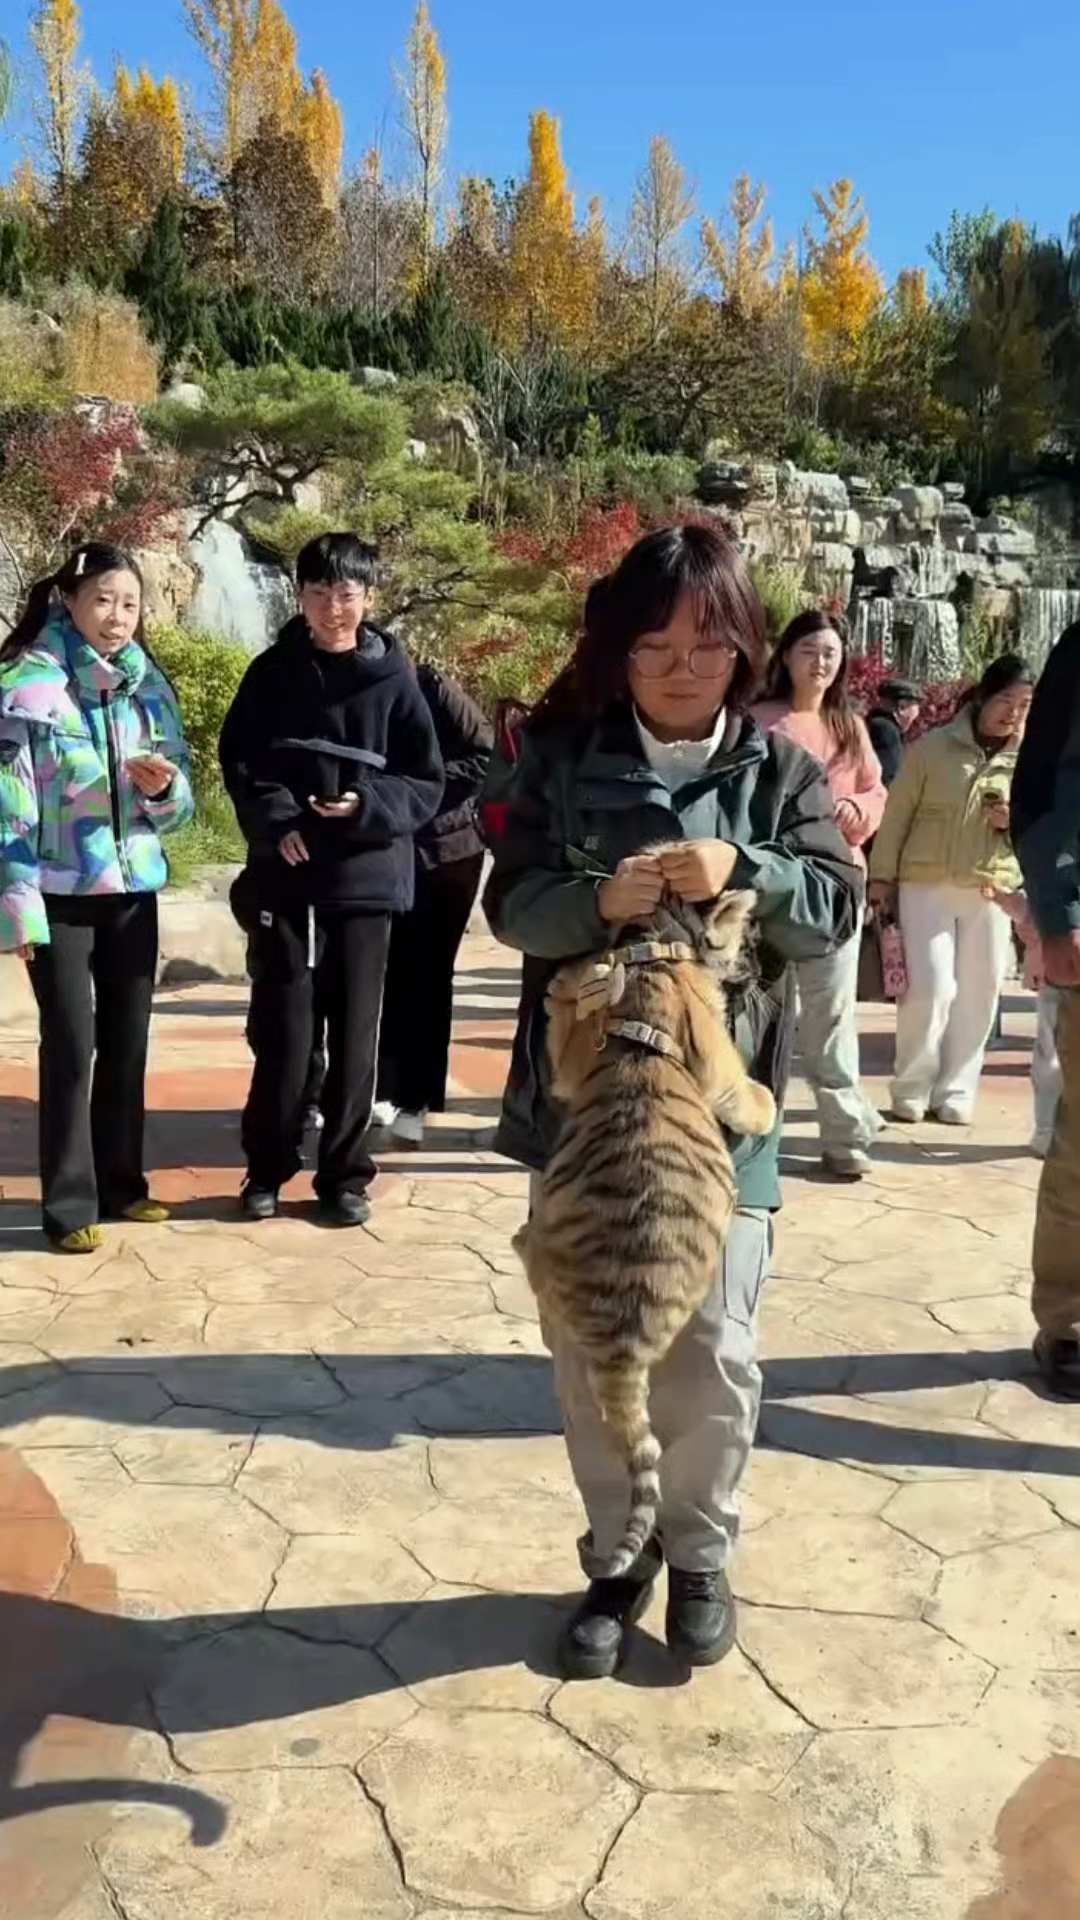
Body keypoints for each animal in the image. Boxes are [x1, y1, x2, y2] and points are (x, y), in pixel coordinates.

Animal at [514, 880, 777, 1578]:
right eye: (748, 937)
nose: (758, 973)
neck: (652, 939)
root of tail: (622, 1345)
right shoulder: (716, 1053)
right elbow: (743, 1090)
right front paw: (768, 1104)